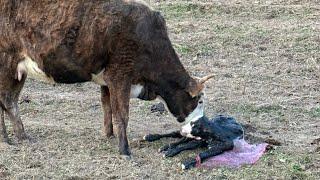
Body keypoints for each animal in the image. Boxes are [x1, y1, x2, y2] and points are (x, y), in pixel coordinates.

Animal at [0, 0, 212, 156]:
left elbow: (107, 108)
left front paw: (109, 135)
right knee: (7, 101)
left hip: (18, 72)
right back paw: (14, 137)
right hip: (7, 64)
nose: (202, 125)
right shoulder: (120, 77)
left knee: (8, 101)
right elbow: (122, 115)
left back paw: (13, 137)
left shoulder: (108, 81)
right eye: (199, 100)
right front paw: (124, 150)